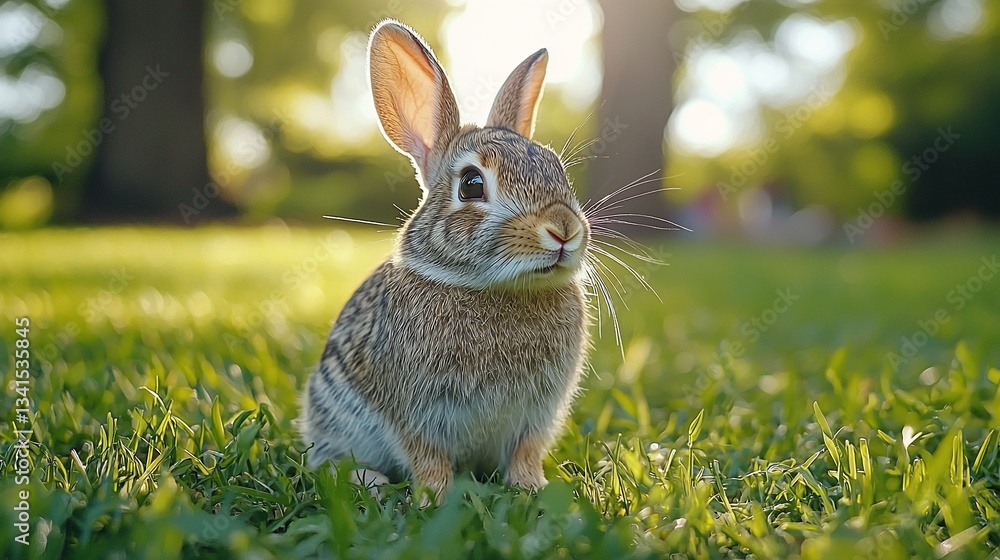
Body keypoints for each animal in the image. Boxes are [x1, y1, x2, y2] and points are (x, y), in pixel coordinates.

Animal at [298, 18, 591, 503]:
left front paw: (531, 487)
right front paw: (436, 498)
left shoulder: (537, 414)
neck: (494, 289)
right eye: (472, 184)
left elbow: (526, 452)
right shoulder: (414, 414)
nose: (564, 228)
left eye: (558, 170)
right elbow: (427, 458)